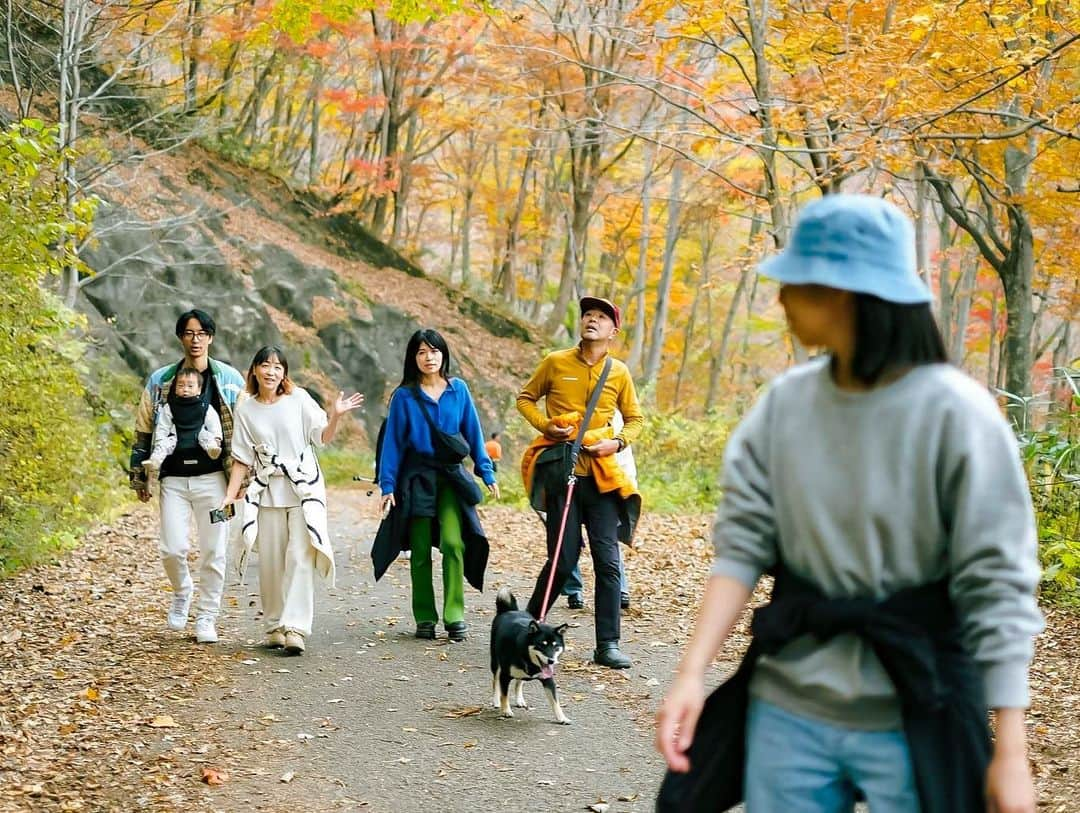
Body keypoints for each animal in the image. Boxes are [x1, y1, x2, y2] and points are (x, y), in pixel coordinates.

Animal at [492, 583, 574, 721]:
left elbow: (555, 700)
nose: (551, 661)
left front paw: (562, 718)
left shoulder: (548, 679)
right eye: (542, 645)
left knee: (519, 682)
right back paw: (496, 701)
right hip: (496, 663)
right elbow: (504, 695)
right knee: (495, 682)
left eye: (556, 646)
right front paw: (506, 710)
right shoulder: (504, 675)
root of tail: (509, 611)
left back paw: (520, 700)